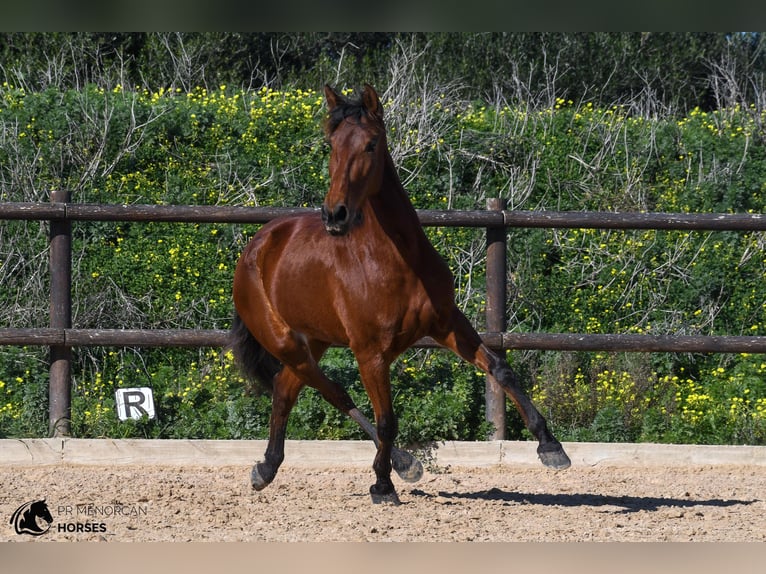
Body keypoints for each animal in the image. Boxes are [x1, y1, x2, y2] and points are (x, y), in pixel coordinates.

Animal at [230, 82, 568, 504]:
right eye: (331, 143)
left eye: (371, 144)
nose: (334, 215)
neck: (395, 260)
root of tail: (258, 244)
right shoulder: (370, 352)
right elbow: (387, 419)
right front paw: (382, 484)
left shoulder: (447, 324)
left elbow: (500, 369)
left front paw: (551, 447)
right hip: (285, 341)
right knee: (332, 391)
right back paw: (400, 463)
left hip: (315, 339)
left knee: (285, 389)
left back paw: (268, 467)